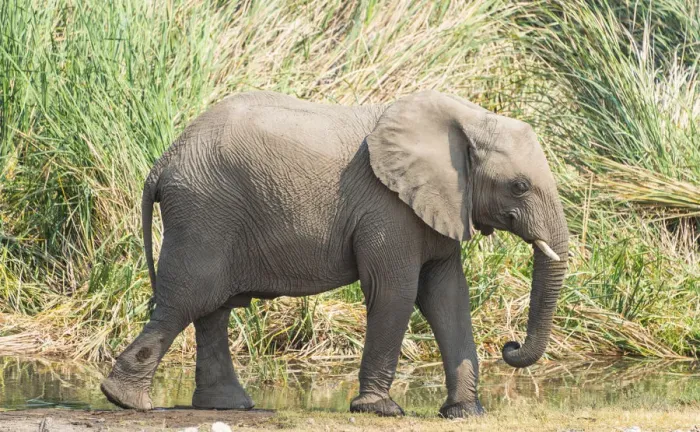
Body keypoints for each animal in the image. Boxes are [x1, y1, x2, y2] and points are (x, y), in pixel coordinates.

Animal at [100, 90, 569, 418]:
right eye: (519, 187)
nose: (509, 346)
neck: (468, 118)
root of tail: (163, 162)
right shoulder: (387, 207)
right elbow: (396, 293)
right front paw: (380, 410)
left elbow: (448, 297)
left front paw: (465, 413)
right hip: (204, 212)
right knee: (187, 299)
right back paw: (127, 401)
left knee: (211, 309)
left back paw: (225, 406)